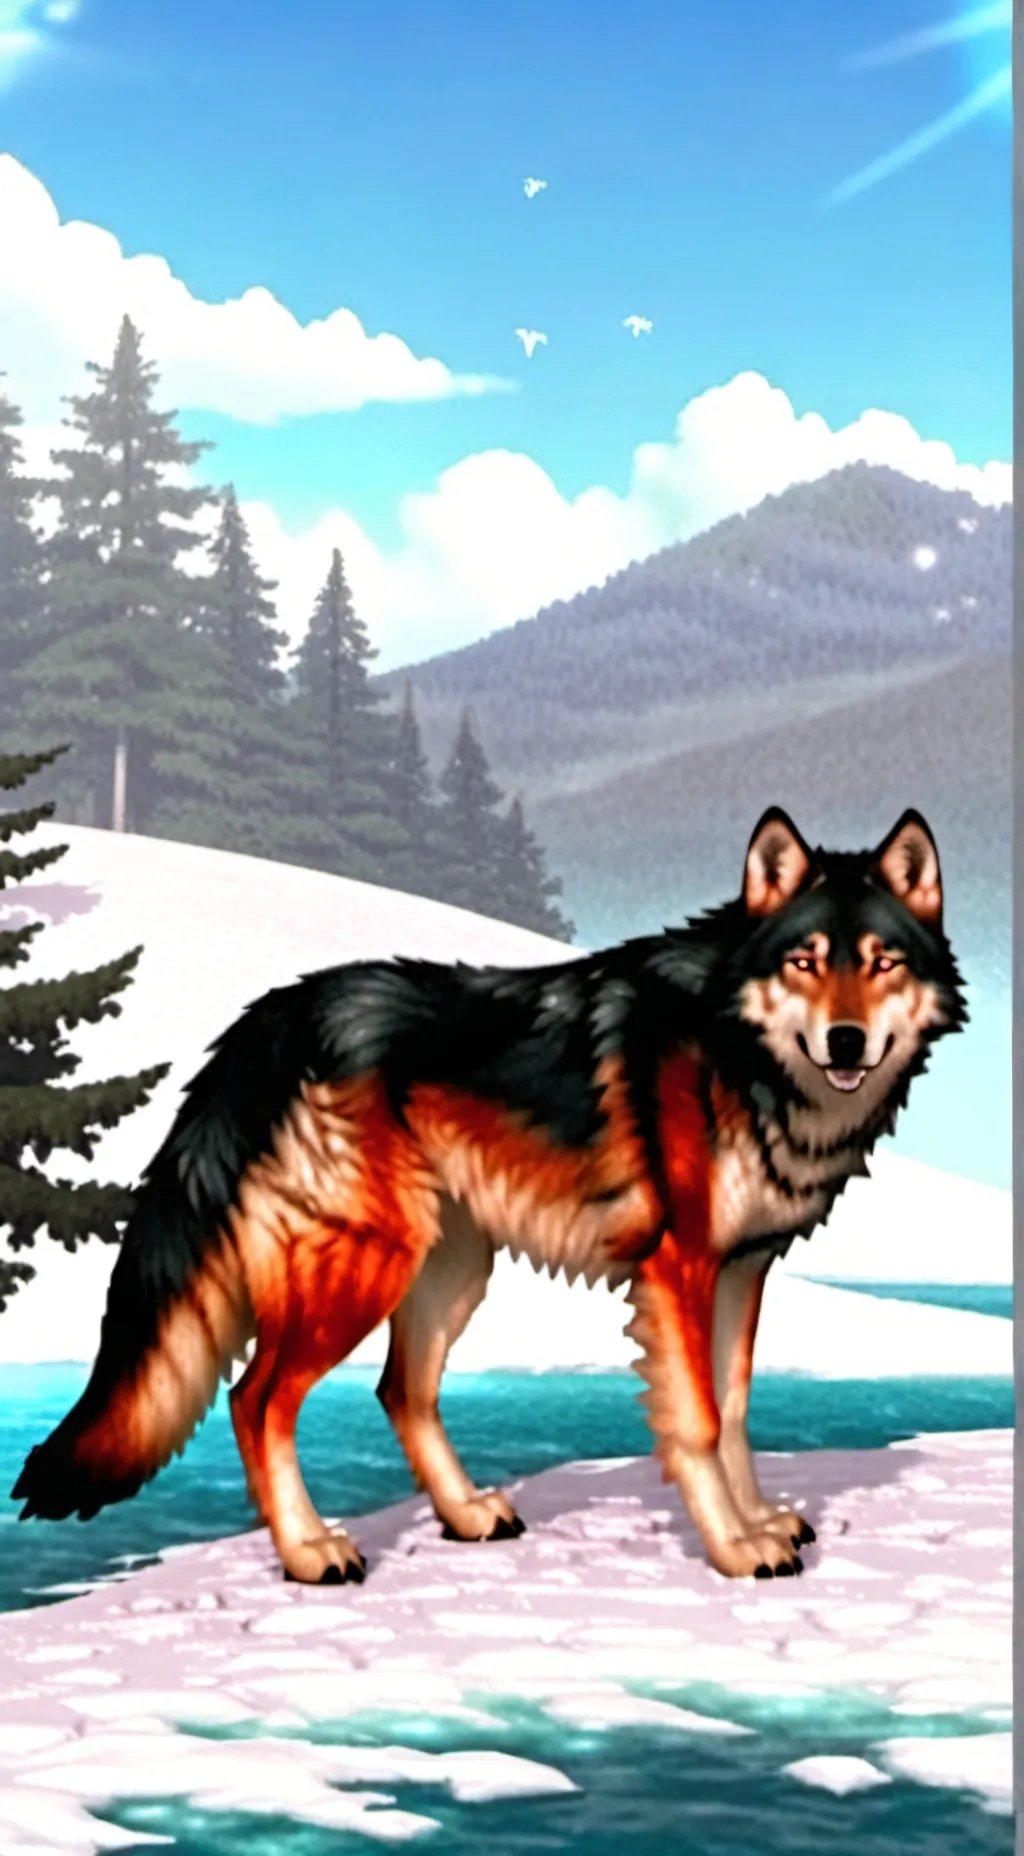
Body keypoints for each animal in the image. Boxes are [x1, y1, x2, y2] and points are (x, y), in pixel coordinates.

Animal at [12, 808, 965, 1583]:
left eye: (880, 963)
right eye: (806, 962)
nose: (846, 1040)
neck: (738, 1051)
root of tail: (275, 1016)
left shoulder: (743, 1270)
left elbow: (734, 1411)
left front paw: (761, 1519)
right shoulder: (681, 1269)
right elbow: (696, 1420)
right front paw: (734, 1547)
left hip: (448, 1271)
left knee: (398, 1392)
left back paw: (467, 1514)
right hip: (366, 1269)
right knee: (256, 1401)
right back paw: (311, 1552)